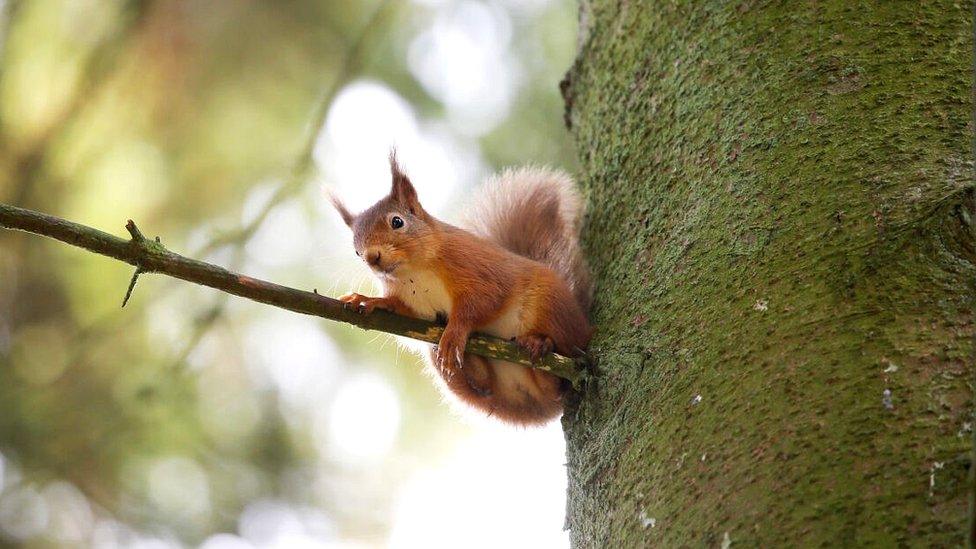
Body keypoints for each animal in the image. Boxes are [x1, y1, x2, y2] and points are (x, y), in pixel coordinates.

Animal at [328, 154, 592, 424]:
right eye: (356, 250)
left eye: (397, 221)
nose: (372, 257)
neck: (414, 272)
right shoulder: (414, 305)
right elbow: (401, 309)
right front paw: (370, 300)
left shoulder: (476, 269)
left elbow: (482, 302)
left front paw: (455, 331)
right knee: (488, 386)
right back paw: (473, 363)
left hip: (550, 307)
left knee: (563, 373)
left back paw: (539, 344)